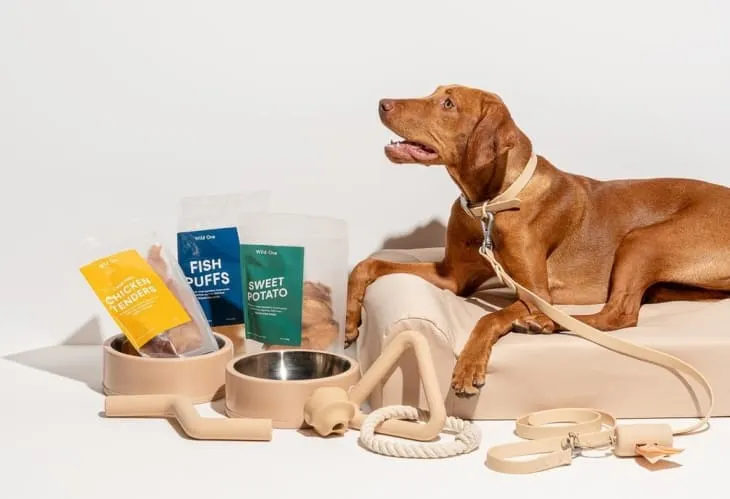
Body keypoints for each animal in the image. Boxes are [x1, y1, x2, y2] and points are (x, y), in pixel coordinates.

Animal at [344, 85, 728, 398]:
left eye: (448, 103)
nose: (382, 103)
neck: (489, 204)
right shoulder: (452, 277)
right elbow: (369, 264)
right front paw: (350, 321)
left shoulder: (535, 292)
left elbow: (488, 319)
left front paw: (468, 367)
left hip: (643, 238)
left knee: (619, 314)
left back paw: (547, 323)